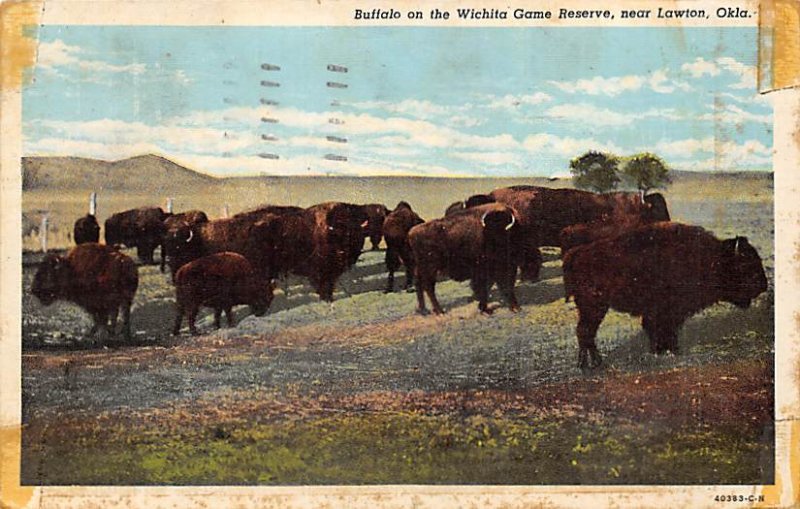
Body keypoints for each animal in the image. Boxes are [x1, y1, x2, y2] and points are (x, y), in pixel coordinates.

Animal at [564, 222, 768, 370]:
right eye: (745, 264)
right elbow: (664, 330)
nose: (764, 286)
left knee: (585, 331)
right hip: (594, 307)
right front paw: (671, 351)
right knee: (585, 331)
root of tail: (577, 253)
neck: (713, 258)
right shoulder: (668, 311)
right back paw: (590, 363)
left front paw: (662, 351)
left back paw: (590, 362)